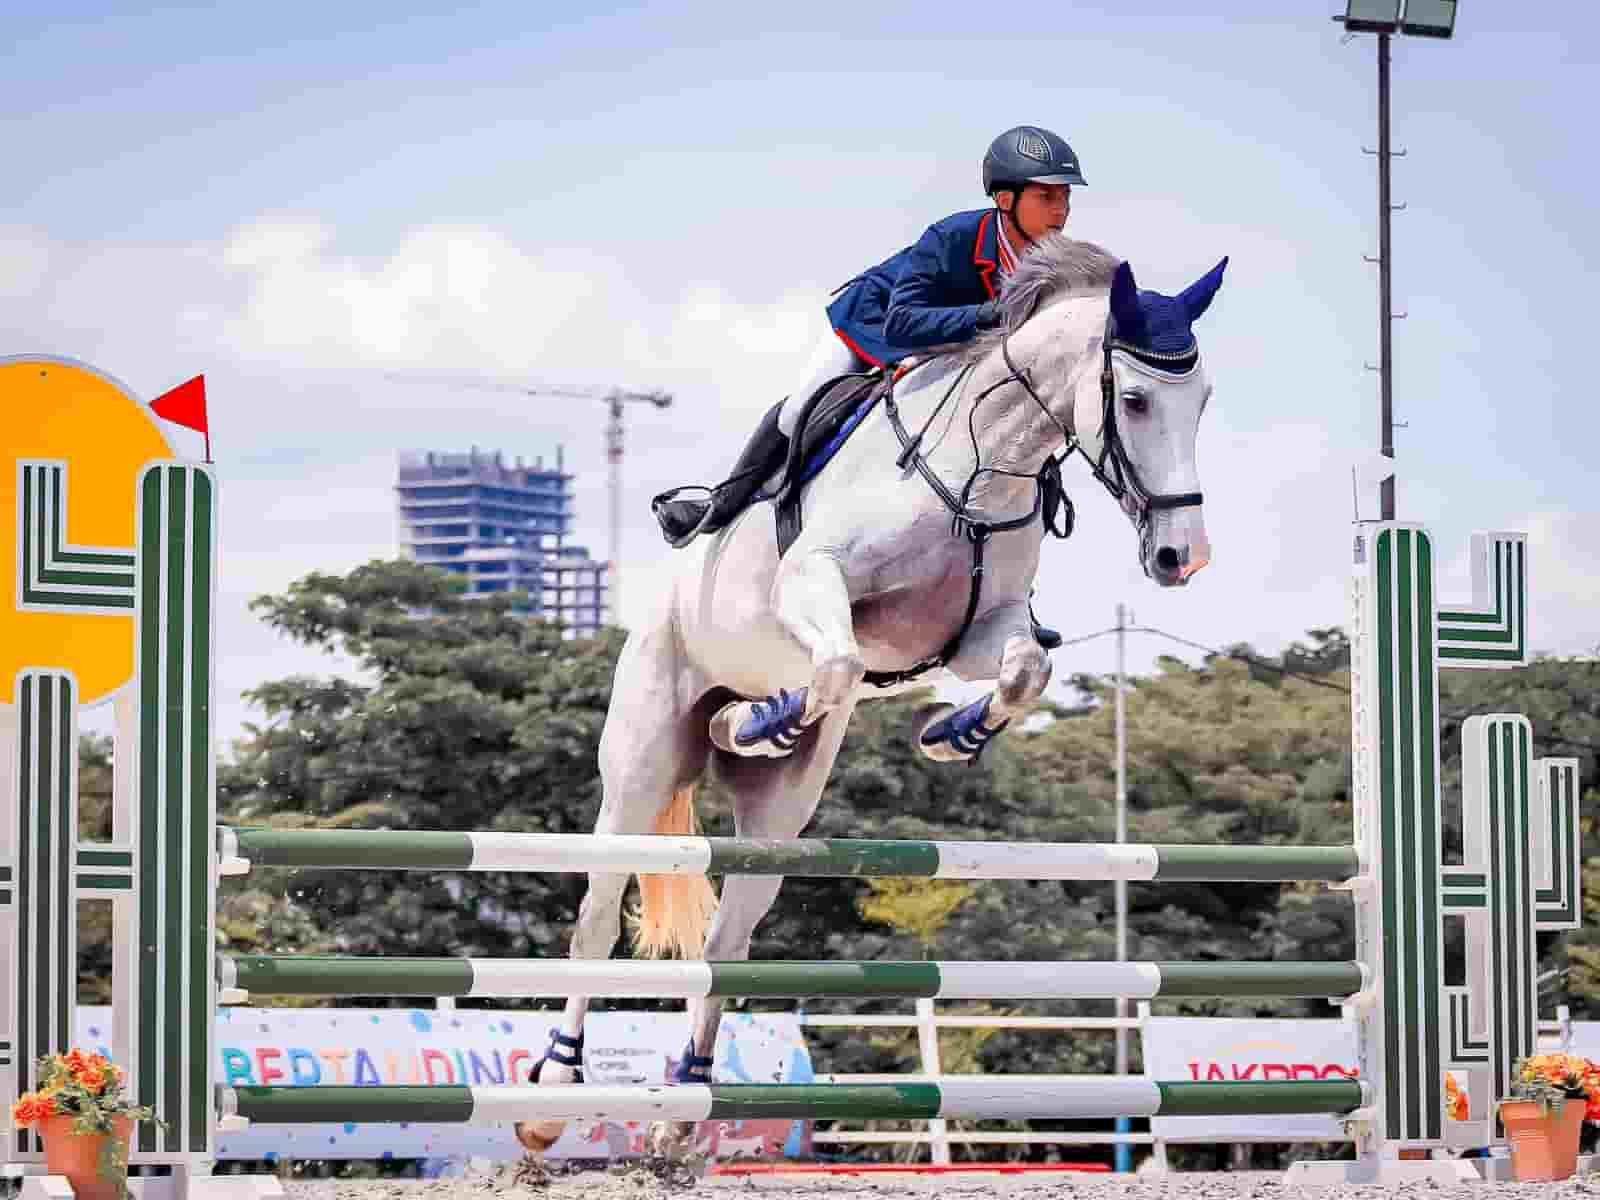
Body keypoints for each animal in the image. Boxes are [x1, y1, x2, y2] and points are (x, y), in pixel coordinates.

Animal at [512, 232, 1222, 1158]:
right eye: (1134, 400)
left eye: (1202, 401)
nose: (1183, 557)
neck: (976, 463)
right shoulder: (816, 584)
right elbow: (841, 667)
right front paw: (765, 717)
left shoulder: (978, 630)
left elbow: (1022, 671)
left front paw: (953, 734)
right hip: (641, 758)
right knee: (598, 912)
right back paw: (552, 1093)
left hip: (778, 819)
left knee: (729, 935)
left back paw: (687, 1106)